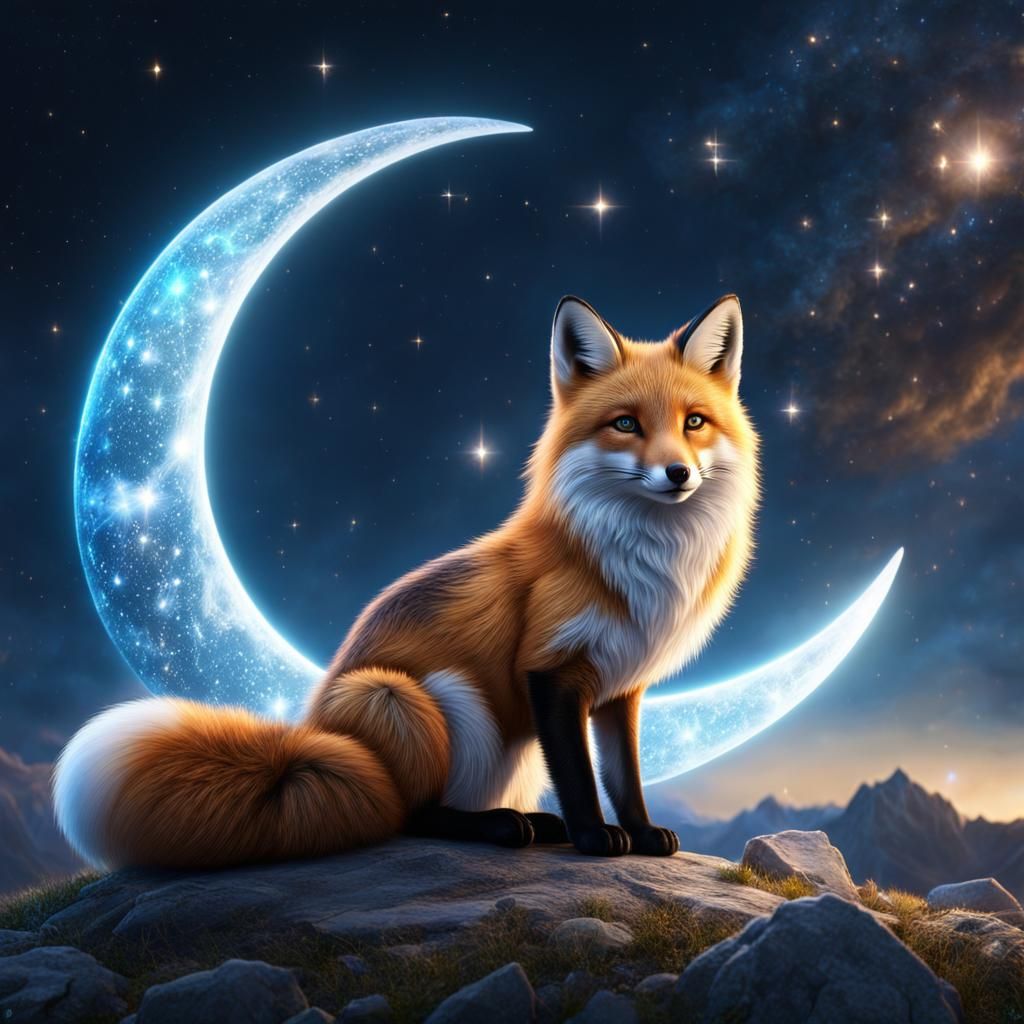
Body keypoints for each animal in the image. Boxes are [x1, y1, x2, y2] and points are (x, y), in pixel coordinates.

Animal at [54, 293, 759, 868]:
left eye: (694, 422)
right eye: (626, 424)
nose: (678, 474)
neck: (639, 563)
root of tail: (308, 744)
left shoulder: (621, 687)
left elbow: (624, 777)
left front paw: (641, 834)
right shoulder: (551, 670)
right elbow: (582, 778)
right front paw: (594, 839)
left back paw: (529, 820)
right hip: (412, 698)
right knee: (408, 817)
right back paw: (507, 827)